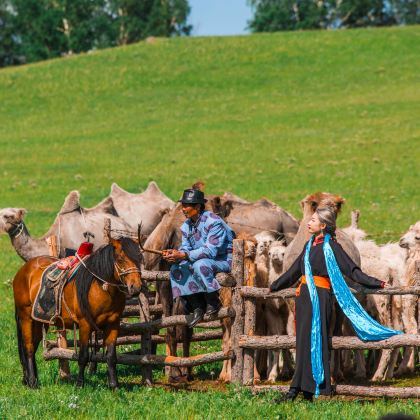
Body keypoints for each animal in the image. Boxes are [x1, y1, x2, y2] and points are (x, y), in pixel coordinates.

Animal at [12, 238, 143, 388]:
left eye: (140, 258)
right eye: (120, 259)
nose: (136, 287)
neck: (99, 287)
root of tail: (23, 270)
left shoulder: (113, 324)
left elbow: (111, 356)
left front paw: (114, 385)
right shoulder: (85, 324)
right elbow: (83, 356)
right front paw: (80, 384)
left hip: (39, 321)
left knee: (33, 346)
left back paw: (28, 380)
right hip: (26, 318)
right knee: (28, 347)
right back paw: (33, 382)